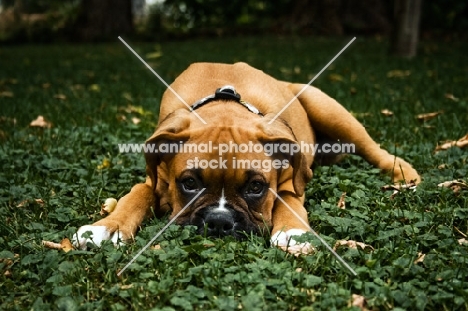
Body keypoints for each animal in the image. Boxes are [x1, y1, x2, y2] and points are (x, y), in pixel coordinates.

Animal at [74, 62, 420, 254]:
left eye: (256, 187)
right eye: (189, 184)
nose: (218, 222)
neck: (225, 108)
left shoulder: (289, 180)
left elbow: (288, 200)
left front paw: (292, 232)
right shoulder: (156, 178)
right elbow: (138, 193)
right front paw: (107, 227)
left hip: (327, 107)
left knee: (373, 148)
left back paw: (403, 173)